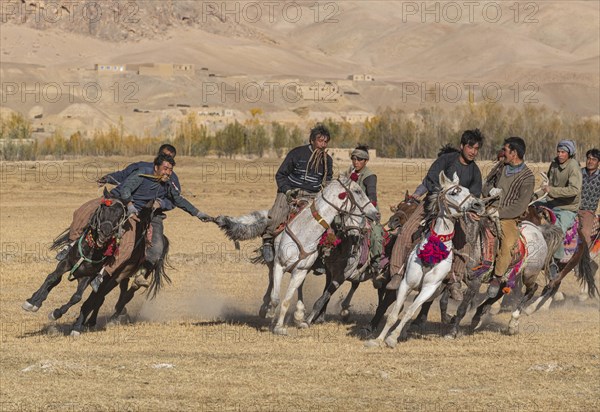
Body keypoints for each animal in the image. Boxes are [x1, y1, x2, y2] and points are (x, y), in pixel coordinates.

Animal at [22, 188, 127, 318]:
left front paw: (56, 313)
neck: (91, 251)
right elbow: (52, 278)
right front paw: (31, 302)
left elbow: (77, 297)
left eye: (120, 215)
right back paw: (36, 300)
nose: (105, 232)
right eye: (103, 209)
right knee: (55, 279)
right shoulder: (66, 262)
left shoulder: (88, 277)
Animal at [364, 171, 486, 348]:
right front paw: (378, 340)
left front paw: (392, 338)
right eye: (454, 192)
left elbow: (409, 312)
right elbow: (394, 313)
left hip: (438, 290)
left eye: (468, 190)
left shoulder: (429, 288)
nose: (478, 205)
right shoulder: (406, 283)